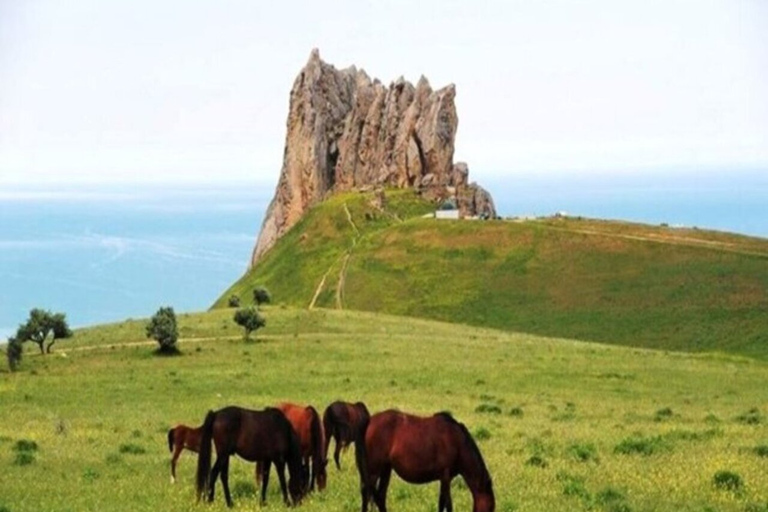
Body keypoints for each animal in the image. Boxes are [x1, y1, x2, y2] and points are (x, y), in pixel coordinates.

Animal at [356, 410, 496, 512]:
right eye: (490, 508)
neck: (458, 443)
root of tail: (368, 422)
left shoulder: (444, 478)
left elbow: (441, 503)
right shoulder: (446, 477)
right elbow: (448, 505)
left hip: (386, 469)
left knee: (380, 497)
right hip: (373, 470)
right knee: (366, 493)